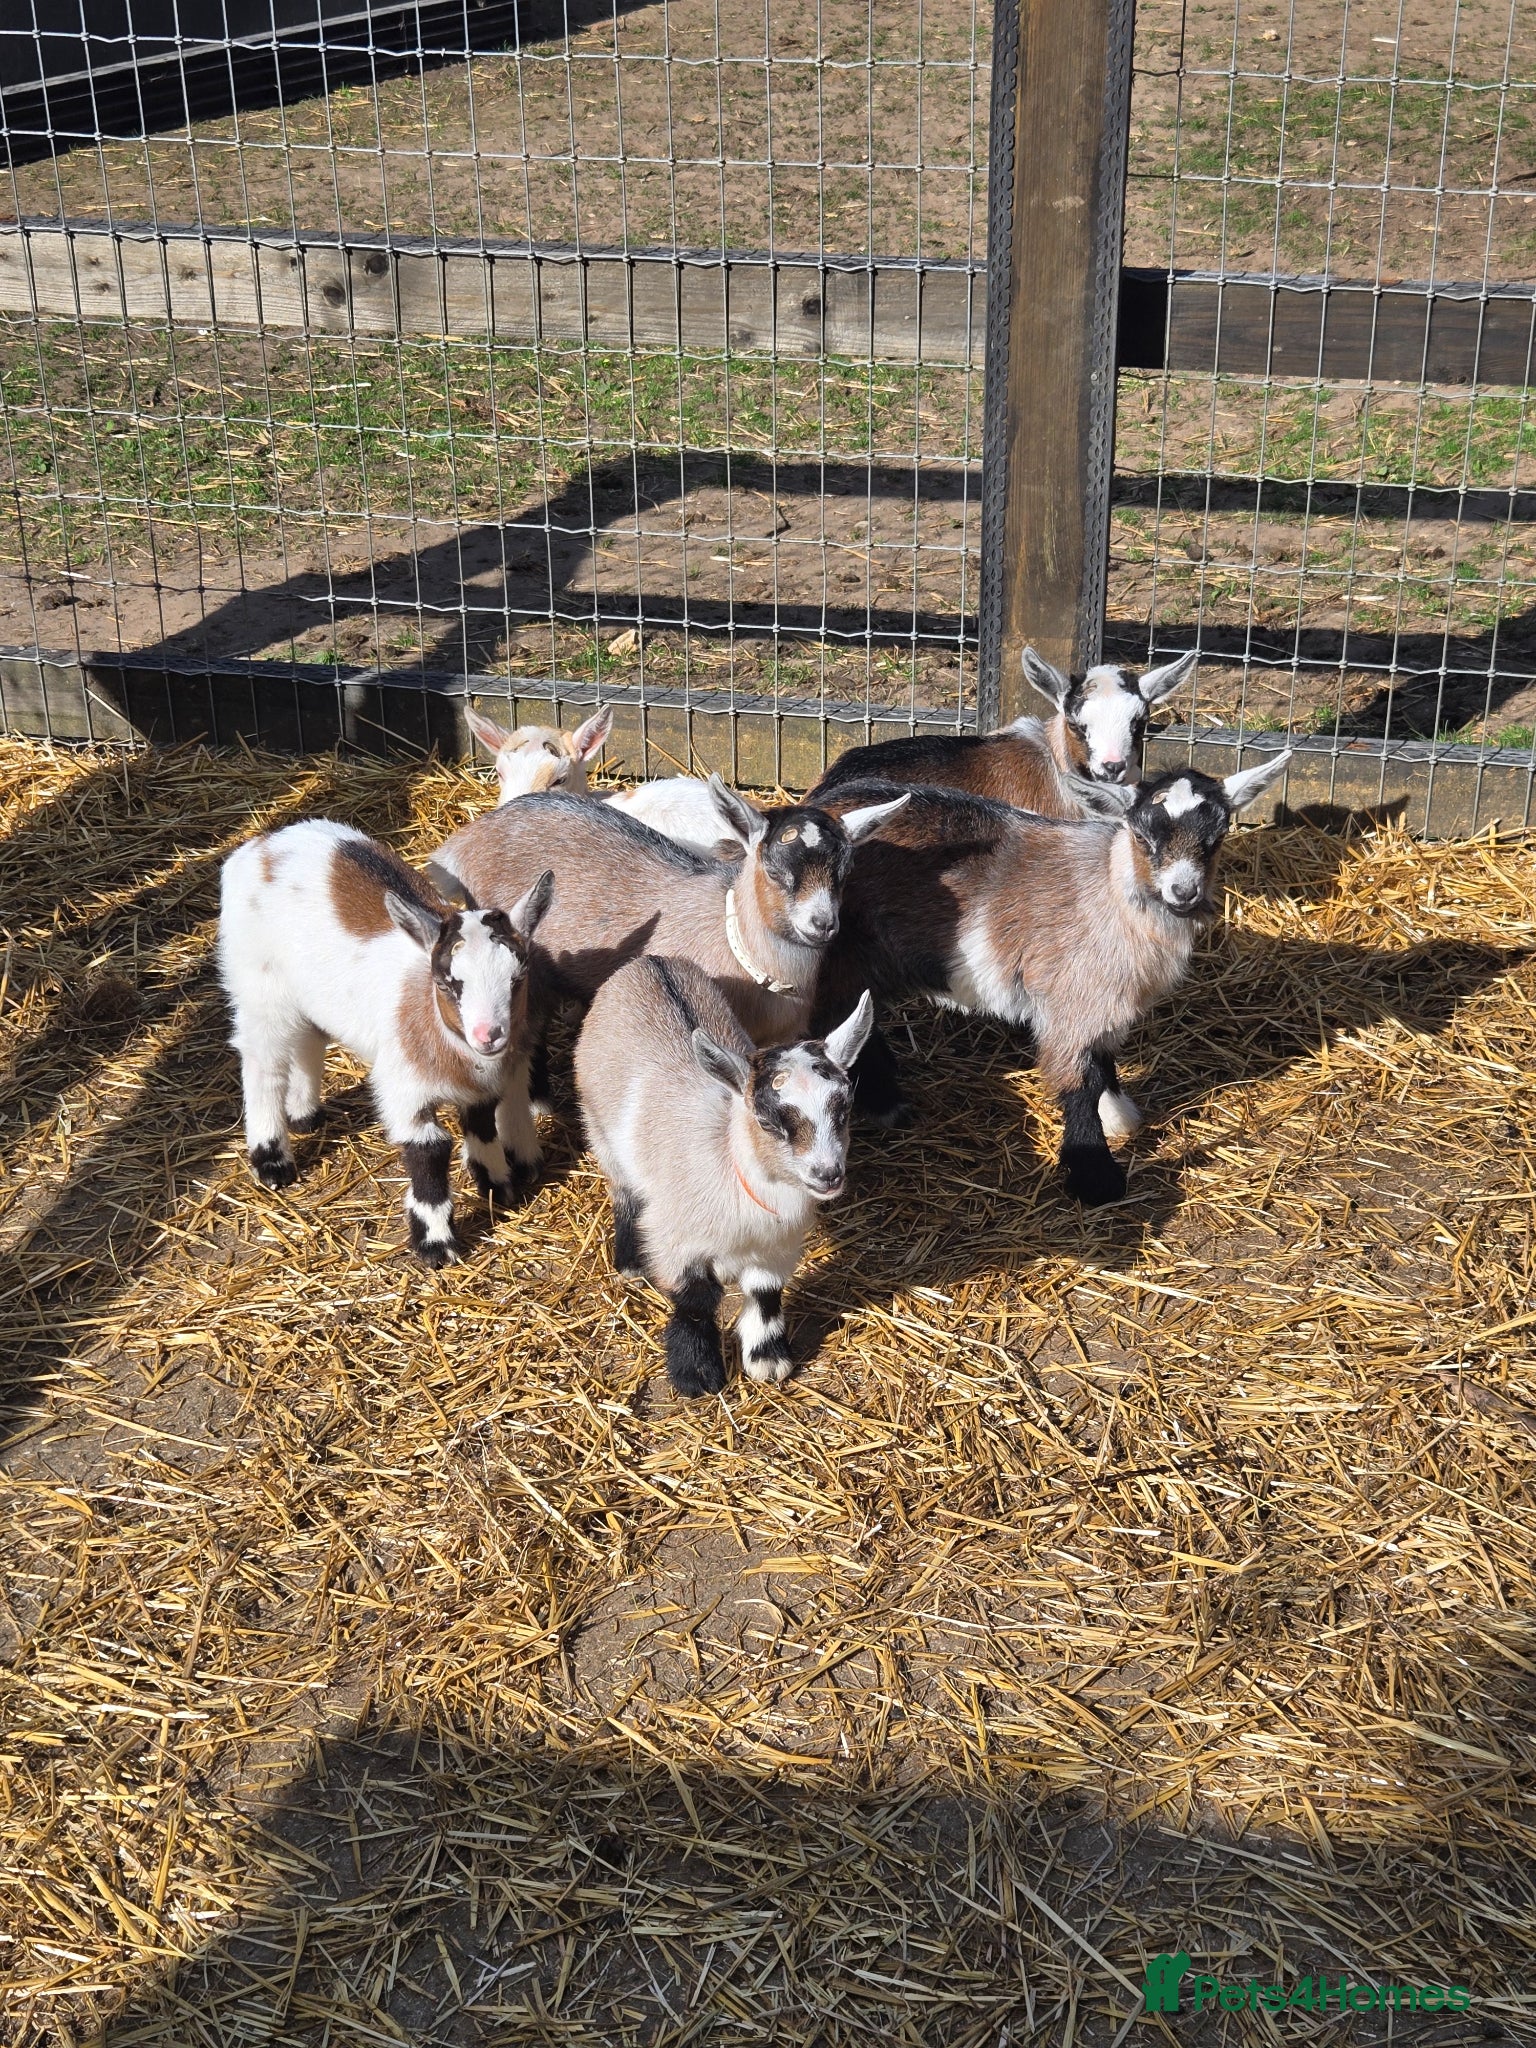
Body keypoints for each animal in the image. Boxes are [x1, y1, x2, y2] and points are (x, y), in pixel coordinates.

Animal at [218, 819, 554, 1265]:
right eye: (446, 983)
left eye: (518, 979)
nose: (489, 1035)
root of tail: (262, 844)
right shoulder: (404, 1090)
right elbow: (429, 1150)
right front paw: (436, 1246)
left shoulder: (481, 1084)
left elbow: (481, 1124)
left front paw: (497, 1185)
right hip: (257, 982)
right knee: (263, 1059)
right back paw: (272, 1159)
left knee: (309, 1038)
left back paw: (305, 1114)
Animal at [576, 953, 873, 1395]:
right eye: (766, 1121)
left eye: (845, 1107)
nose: (827, 1174)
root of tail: (647, 962)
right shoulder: (677, 1238)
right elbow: (696, 1300)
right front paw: (696, 1375)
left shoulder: (776, 1248)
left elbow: (765, 1293)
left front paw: (768, 1360)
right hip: (599, 1129)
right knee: (624, 1191)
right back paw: (630, 1262)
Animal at [810, 752, 1291, 1206]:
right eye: (1142, 836)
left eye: (1216, 839)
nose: (1183, 892)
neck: (1111, 893)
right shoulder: (1070, 1000)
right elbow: (1080, 1083)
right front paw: (1096, 1176)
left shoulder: (1104, 1003)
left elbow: (1103, 1060)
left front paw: (1119, 1115)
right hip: (842, 956)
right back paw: (887, 1103)